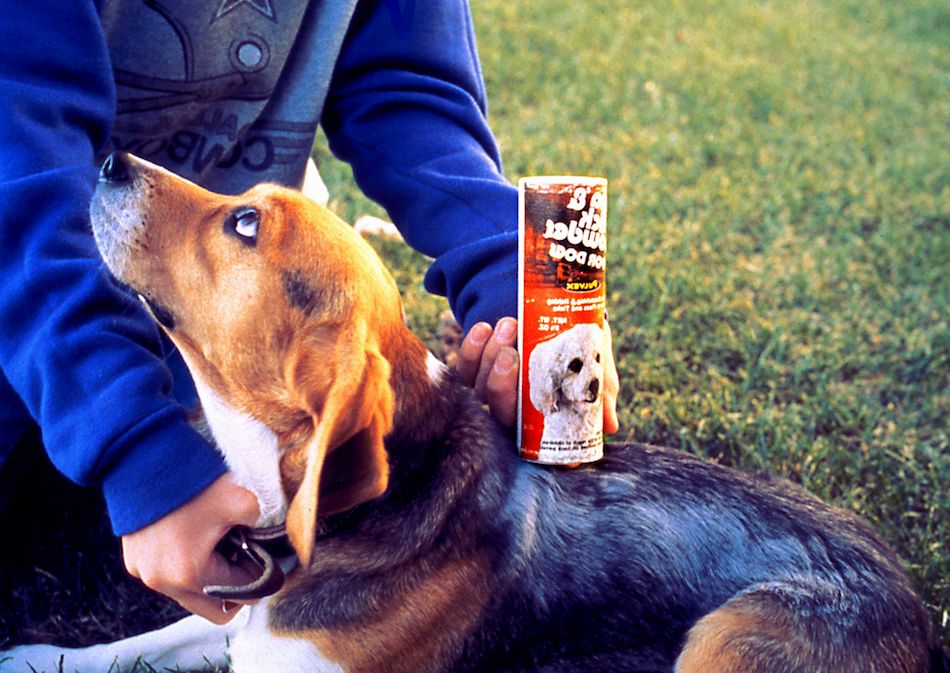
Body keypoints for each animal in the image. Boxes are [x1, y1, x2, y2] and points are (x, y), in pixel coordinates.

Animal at [3, 152, 948, 672]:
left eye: (243, 224)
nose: (112, 160)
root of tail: (921, 616)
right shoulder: (249, 626)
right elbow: (155, 636)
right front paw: (39, 654)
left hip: (728, 638)